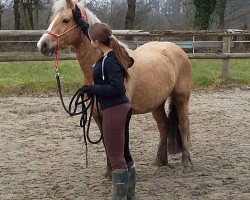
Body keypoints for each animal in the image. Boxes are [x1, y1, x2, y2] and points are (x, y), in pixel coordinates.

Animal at [37, 0, 192, 175]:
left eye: (65, 20)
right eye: (52, 19)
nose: (42, 45)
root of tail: (175, 48)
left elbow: (119, 139)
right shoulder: (97, 114)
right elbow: (106, 140)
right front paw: (108, 172)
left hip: (181, 98)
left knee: (183, 126)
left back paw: (186, 163)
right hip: (156, 103)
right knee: (163, 126)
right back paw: (159, 161)